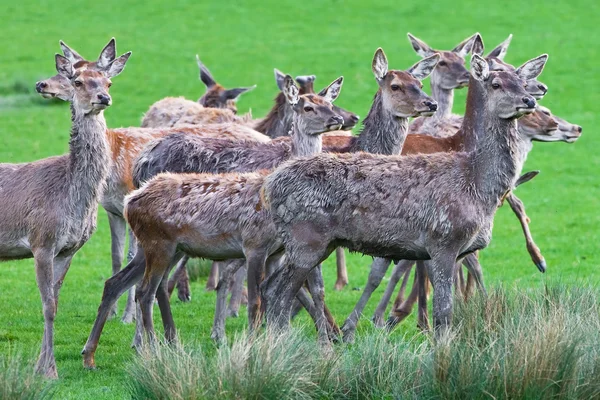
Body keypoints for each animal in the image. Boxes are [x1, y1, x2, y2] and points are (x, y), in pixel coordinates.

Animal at [0, 41, 131, 378]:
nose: (103, 98)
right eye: (78, 81)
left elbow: (54, 303)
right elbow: (47, 305)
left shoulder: (68, 248)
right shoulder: (41, 241)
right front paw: (50, 370)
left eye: (108, 83)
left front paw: (40, 364)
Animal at [260, 51, 548, 342]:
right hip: (305, 239)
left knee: (272, 287)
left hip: (315, 243)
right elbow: (444, 312)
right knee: (279, 292)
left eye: (522, 83)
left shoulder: (448, 250)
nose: (530, 100)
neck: (478, 186)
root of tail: (272, 184)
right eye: (496, 84)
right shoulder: (444, 239)